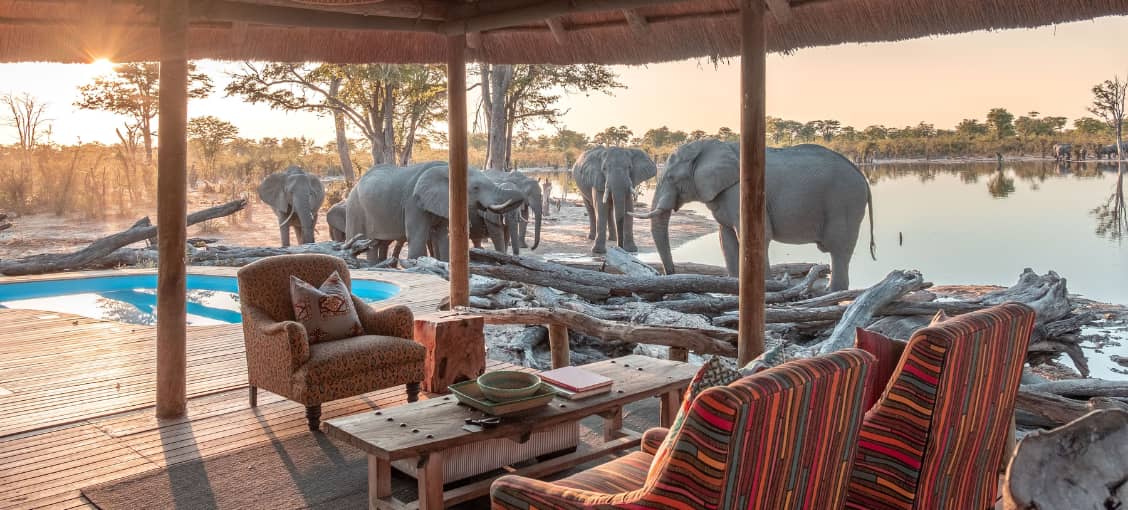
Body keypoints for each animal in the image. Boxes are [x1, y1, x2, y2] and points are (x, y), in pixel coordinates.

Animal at [344, 162, 525, 261]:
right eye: (475, 188)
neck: (446, 168)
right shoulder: (413, 202)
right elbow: (417, 236)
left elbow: (444, 235)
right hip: (354, 209)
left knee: (376, 244)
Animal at [633, 139, 874, 291]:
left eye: (671, 178)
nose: (670, 275)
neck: (709, 145)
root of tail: (862, 177)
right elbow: (726, 239)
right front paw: (732, 285)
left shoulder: (740, 191)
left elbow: (755, 235)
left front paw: (766, 287)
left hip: (845, 202)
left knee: (839, 249)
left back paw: (832, 293)